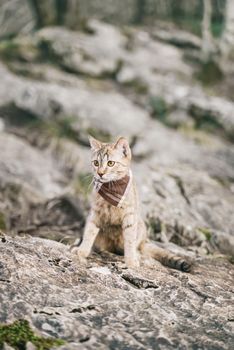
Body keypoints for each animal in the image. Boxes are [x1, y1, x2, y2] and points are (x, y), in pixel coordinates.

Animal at [72, 135, 192, 272]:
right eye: (96, 163)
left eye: (110, 163)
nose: (100, 173)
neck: (112, 188)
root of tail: (145, 239)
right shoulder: (95, 214)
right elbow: (88, 234)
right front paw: (81, 251)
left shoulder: (129, 217)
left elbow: (129, 242)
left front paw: (130, 261)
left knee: (137, 247)